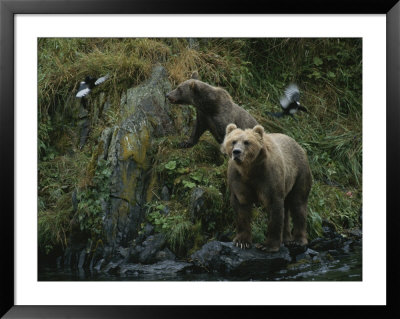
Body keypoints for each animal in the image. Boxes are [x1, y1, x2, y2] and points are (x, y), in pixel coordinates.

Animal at [222, 124, 312, 252]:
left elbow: (274, 208)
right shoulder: (238, 178)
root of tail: (297, 144)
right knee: (287, 209)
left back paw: (298, 241)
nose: (237, 152)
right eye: (233, 141)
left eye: (247, 142)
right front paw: (242, 242)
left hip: (299, 172)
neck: (250, 170)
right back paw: (286, 239)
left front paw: (267, 245)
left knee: (298, 204)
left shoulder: (269, 177)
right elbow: (241, 208)